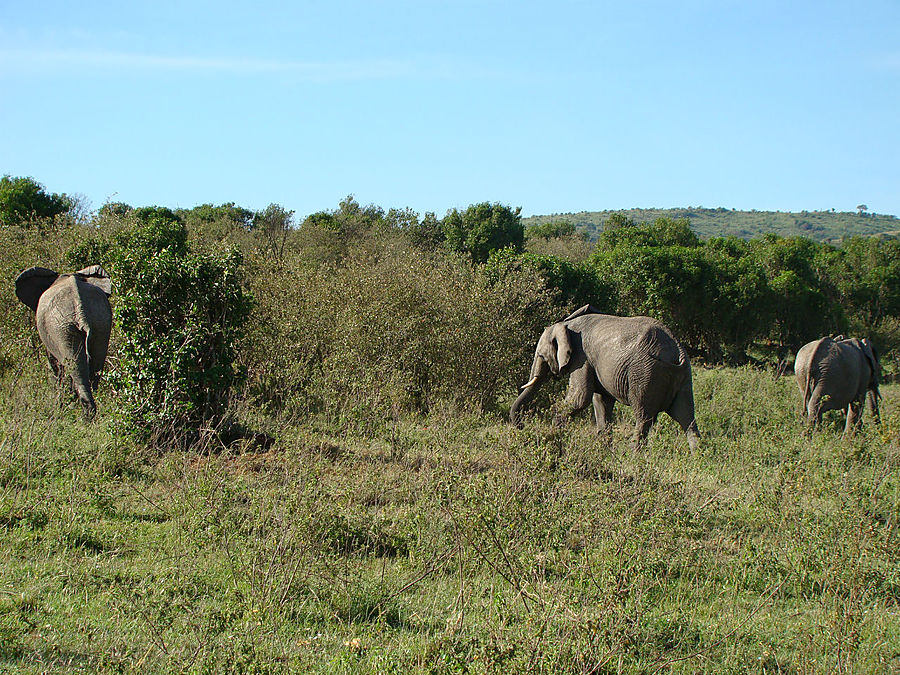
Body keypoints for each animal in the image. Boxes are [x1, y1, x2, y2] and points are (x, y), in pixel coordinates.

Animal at [15, 264, 113, 418]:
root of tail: (80, 311)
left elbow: (55, 365)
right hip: (100, 322)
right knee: (94, 367)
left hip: (61, 328)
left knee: (74, 367)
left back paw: (83, 415)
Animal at [510, 306, 700, 448]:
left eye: (541, 355)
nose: (521, 426)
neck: (566, 324)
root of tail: (676, 350)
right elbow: (601, 402)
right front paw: (604, 450)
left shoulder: (582, 358)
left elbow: (580, 399)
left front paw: (553, 435)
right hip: (683, 377)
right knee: (687, 417)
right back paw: (697, 458)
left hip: (645, 372)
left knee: (644, 416)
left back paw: (633, 458)